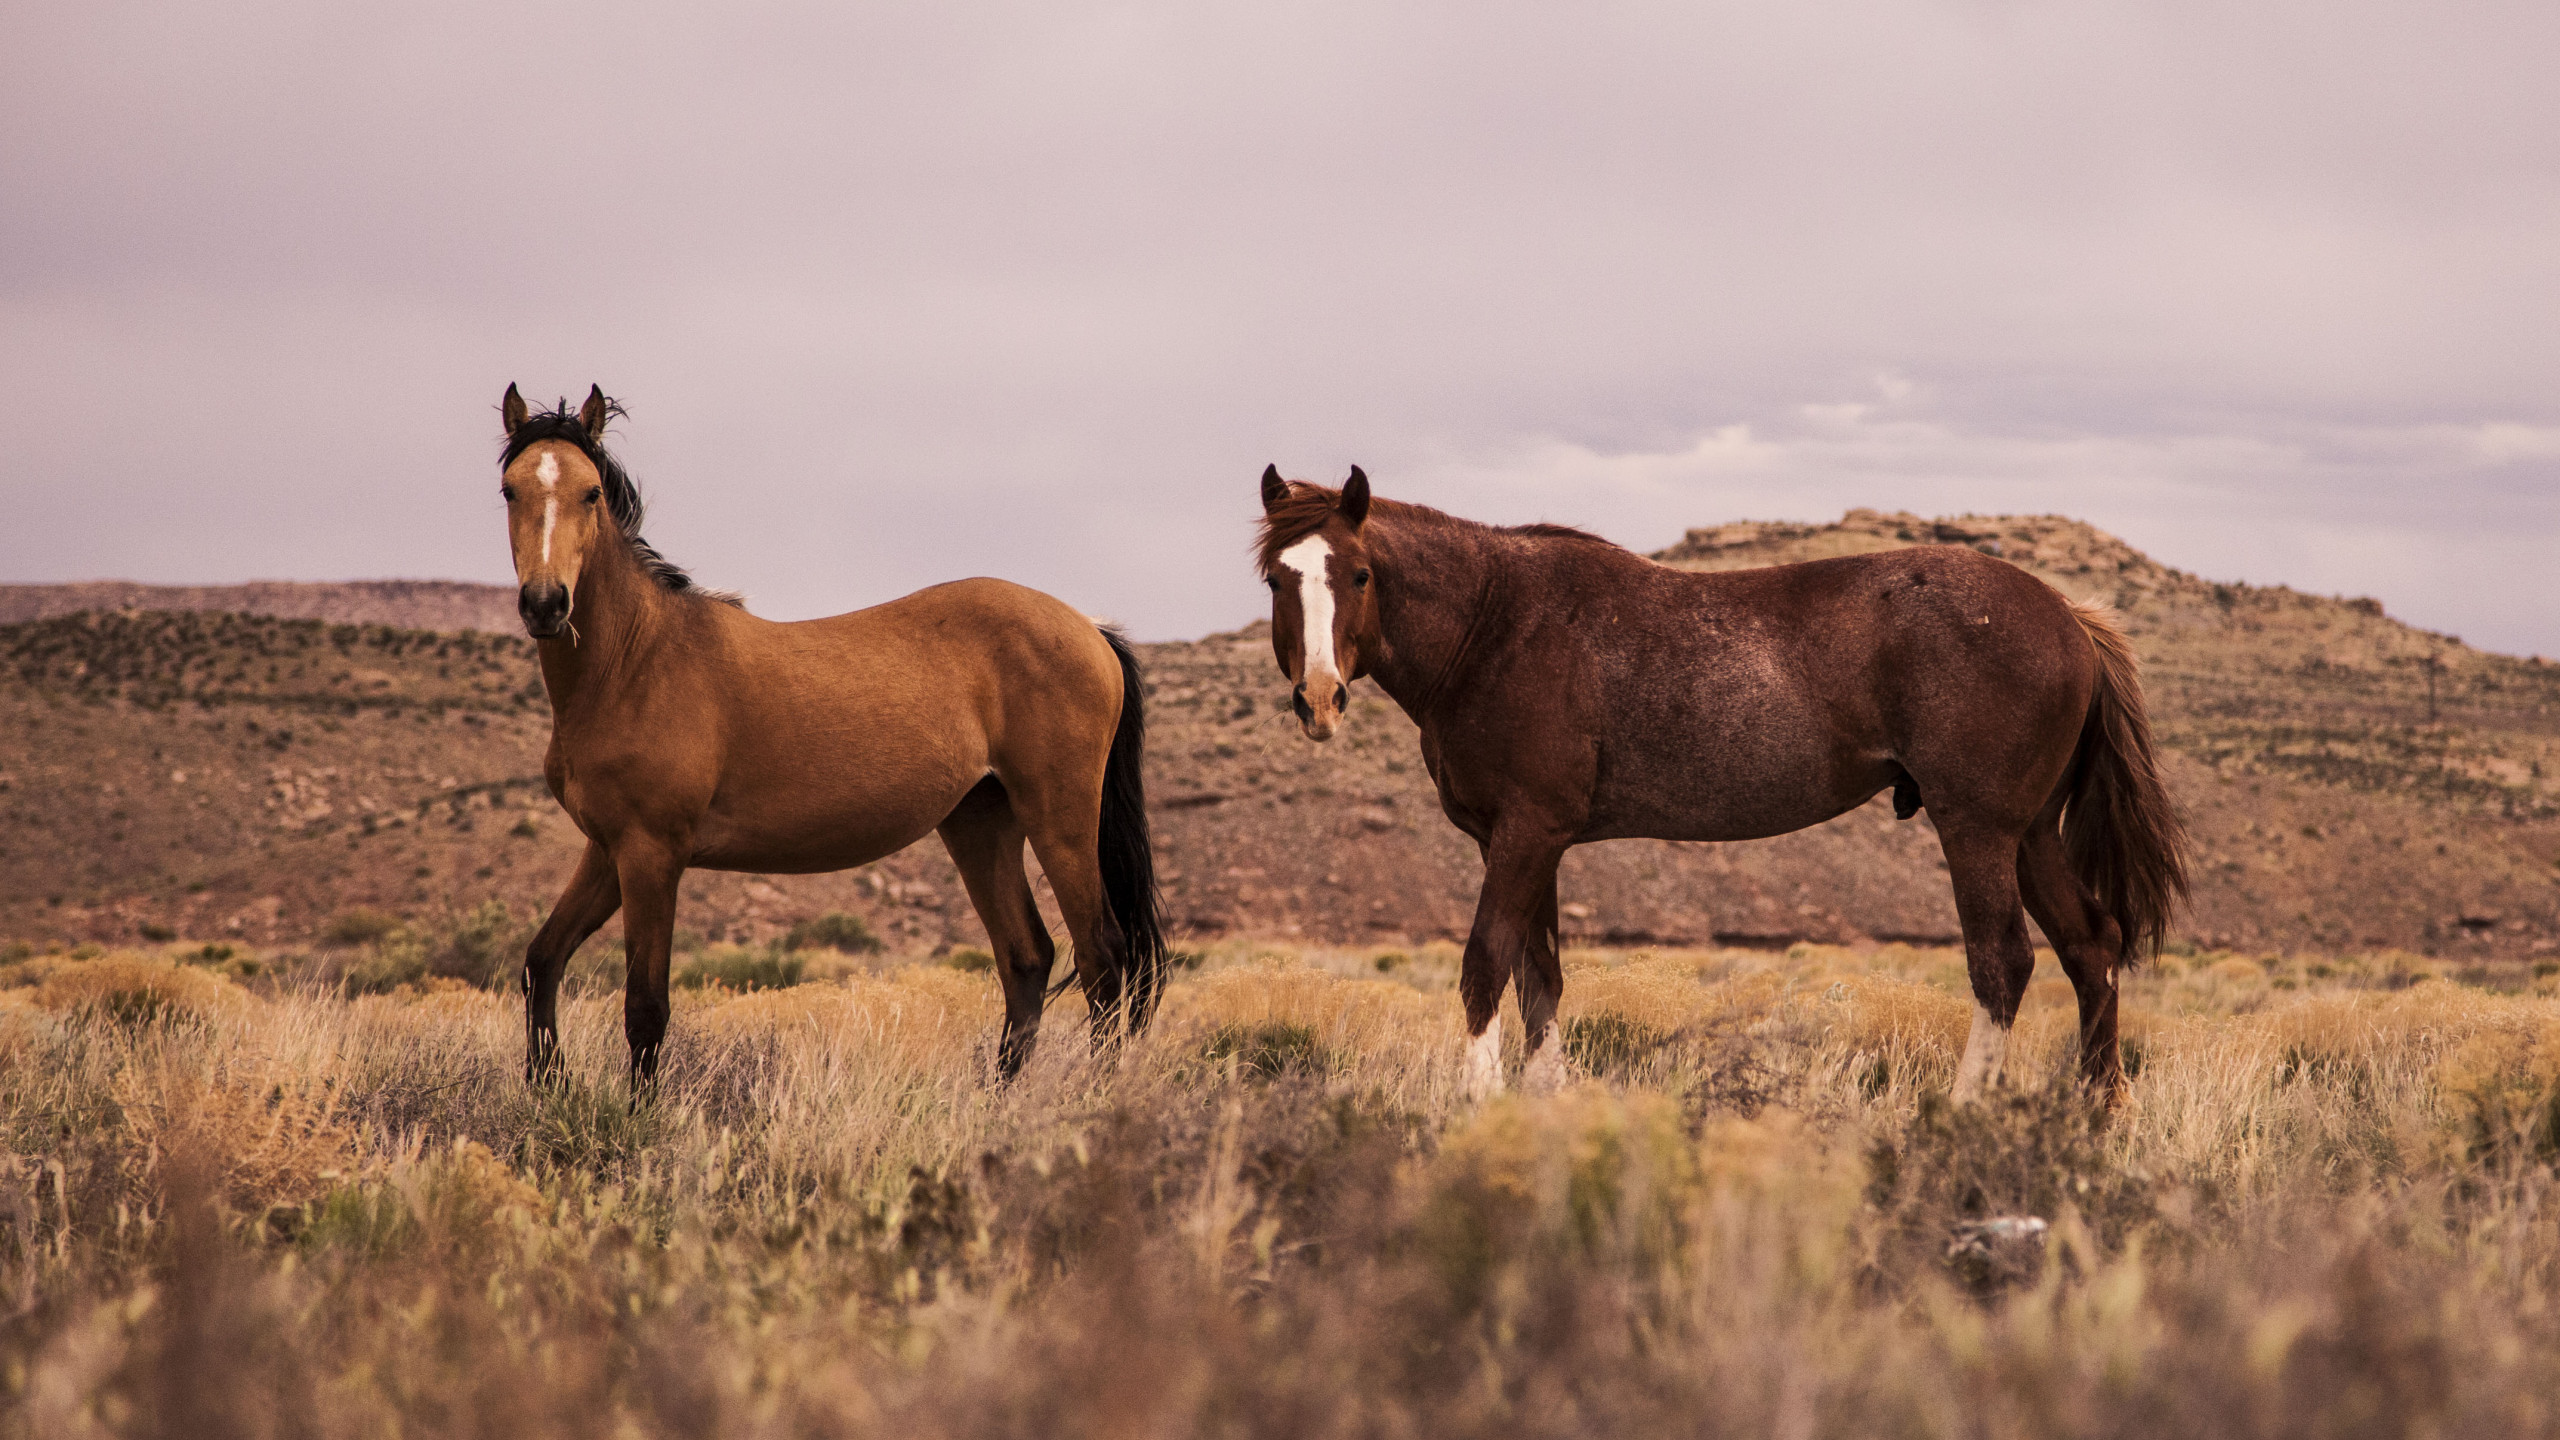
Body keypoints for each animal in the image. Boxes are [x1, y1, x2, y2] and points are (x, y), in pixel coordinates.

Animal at [494, 384, 1166, 1086]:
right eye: (510, 490)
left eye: (591, 492)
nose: (546, 604)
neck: (636, 660)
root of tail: (1089, 628)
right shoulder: (608, 850)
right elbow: (541, 963)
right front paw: (548, 1086)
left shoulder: (651, 854)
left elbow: (646, 1009)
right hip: (980, 822)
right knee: (1027, 957)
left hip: (1059, 820)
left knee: (1103, 959)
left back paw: (1094, 1094)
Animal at [1253, 465, 2188, 1102]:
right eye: (1276, 578)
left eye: (1359, 574)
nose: (1319, 698)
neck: (1494, 624)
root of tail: (2069, 617)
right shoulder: (1529, 844)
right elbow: (1539, 979)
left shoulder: (1524, 835)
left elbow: (1485, 964)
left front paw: (1480, 1105)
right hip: (2029, 835)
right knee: (2091, 948)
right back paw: (2092, 1117)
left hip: (1979, 831)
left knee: (2003, 963)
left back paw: (1964, 1114)